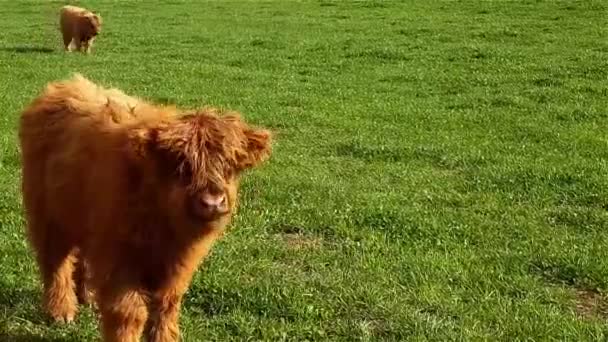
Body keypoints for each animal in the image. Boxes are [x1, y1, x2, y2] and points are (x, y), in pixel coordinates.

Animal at [19, 75, 270, 342]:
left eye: (230, 166)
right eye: (181, 165)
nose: (212, 202)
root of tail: (65, 85)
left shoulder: (178, 266)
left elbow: (167, 304)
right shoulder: (119, 259)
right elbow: (129, 312)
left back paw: (88, 297)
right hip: (47, 216)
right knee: (55, 262)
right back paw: (61, 311)